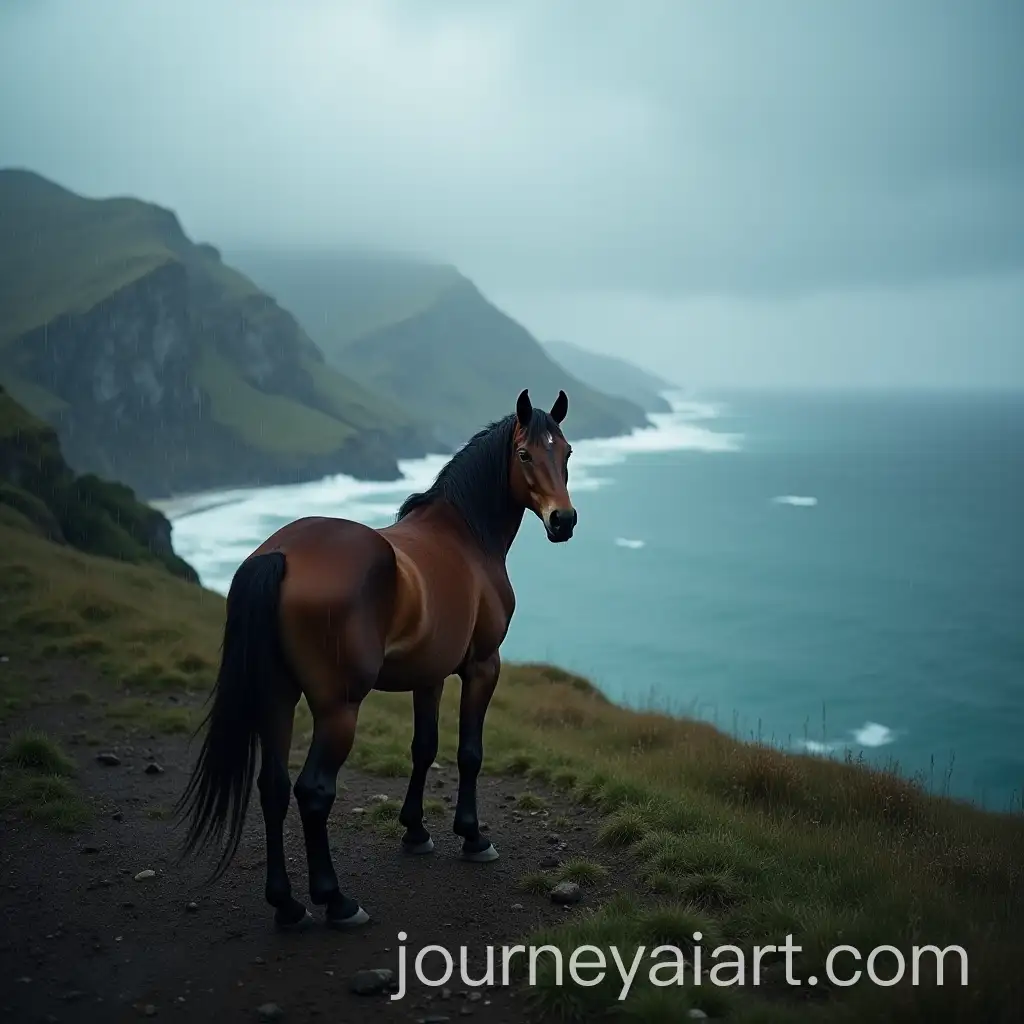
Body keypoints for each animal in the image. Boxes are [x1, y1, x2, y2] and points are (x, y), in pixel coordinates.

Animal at [176, 388, 577, 931]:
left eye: (567, 452)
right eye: (524, 454)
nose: (564, 521)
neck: (465, 538)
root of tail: (279, 555)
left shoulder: (429, 676)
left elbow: (424, 748)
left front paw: (415, 832)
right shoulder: (481, 666)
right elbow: (468, 753)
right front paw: (472, 836)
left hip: (278, 697)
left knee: (273, 787)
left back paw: (287, 905)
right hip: (338, 709)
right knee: (313, 792)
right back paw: (336, 901)